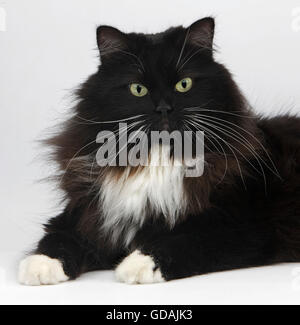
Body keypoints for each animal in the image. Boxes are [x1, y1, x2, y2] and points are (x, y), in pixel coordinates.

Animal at [18, 17, 300, 284]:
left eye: (184, 84)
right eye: (138, 89)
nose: (164, 108)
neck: (157, 160)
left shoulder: (244, 228)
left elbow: (184, 241)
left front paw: (137, 264)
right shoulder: (89, 213)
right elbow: (58, 236)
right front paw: (40, 266)